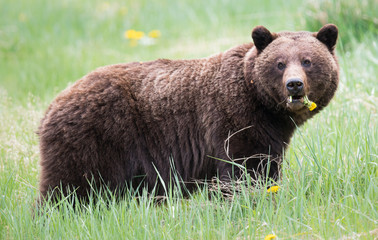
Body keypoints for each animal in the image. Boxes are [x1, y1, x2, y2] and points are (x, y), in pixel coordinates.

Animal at [37, 23, 340, 201]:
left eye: (307, 61)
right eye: (279, 63)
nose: (294, 84)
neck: (265, 107)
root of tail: (53, 104)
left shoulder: (271, 135)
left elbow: (266, 167)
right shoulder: (233, 119)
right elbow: (242, 168)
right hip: (95, 137)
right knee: (68, 187)